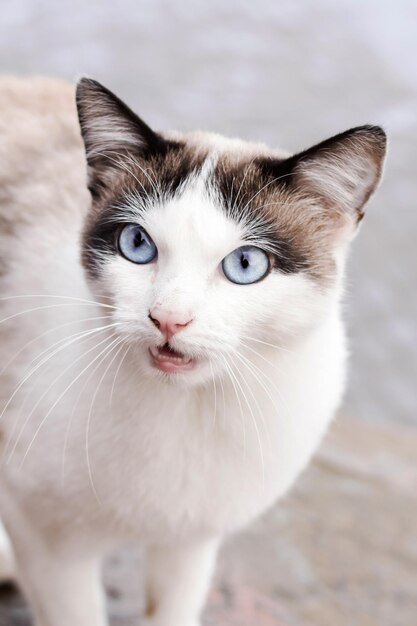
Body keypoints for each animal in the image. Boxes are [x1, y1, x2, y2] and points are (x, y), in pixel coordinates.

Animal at [0, 78, 386, 624]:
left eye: (245, 265)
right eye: (136, 244)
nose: (168, 318)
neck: (187, 407)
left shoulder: (193, 537)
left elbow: (174, 606)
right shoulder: (46, 542)